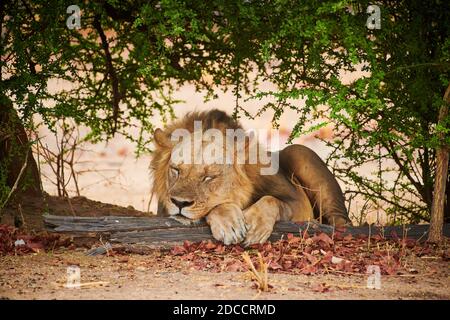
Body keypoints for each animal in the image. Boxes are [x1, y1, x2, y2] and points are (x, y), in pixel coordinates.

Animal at [152, 109, 352, 246]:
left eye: (208, 177)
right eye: (176, 170)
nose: (179, 203)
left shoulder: (299, 204)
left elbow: (271, 200)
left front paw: (254, 226)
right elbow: (217, 206)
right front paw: (229, 224)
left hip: (299, 151)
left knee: (342, 220)